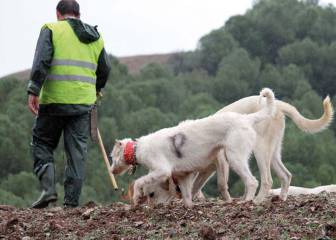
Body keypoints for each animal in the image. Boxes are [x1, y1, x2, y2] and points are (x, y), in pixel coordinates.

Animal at [111, 88, 274, 206]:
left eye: (112, 158)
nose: (112, 171)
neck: (137, 149)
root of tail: (246, 118)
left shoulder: (162, 170)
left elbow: (140, 181)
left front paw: (136, 196)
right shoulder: (184, 176)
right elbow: (188, 197)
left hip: (235, 158)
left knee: (252, 182)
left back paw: (248, 201)